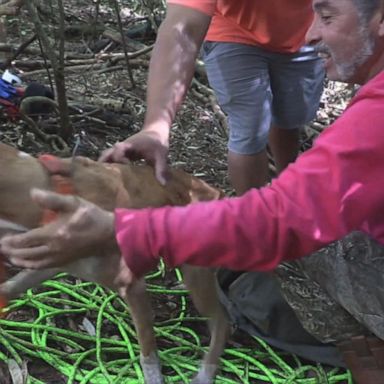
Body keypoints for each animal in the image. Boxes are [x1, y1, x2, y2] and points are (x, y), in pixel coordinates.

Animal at [0, 143, 230, 384]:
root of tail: (214, 191)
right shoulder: (52, 264)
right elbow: (10, 287)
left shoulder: (132, 286)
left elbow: (148, 352)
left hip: (195, 274)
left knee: (222, 321)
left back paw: (206, 372)